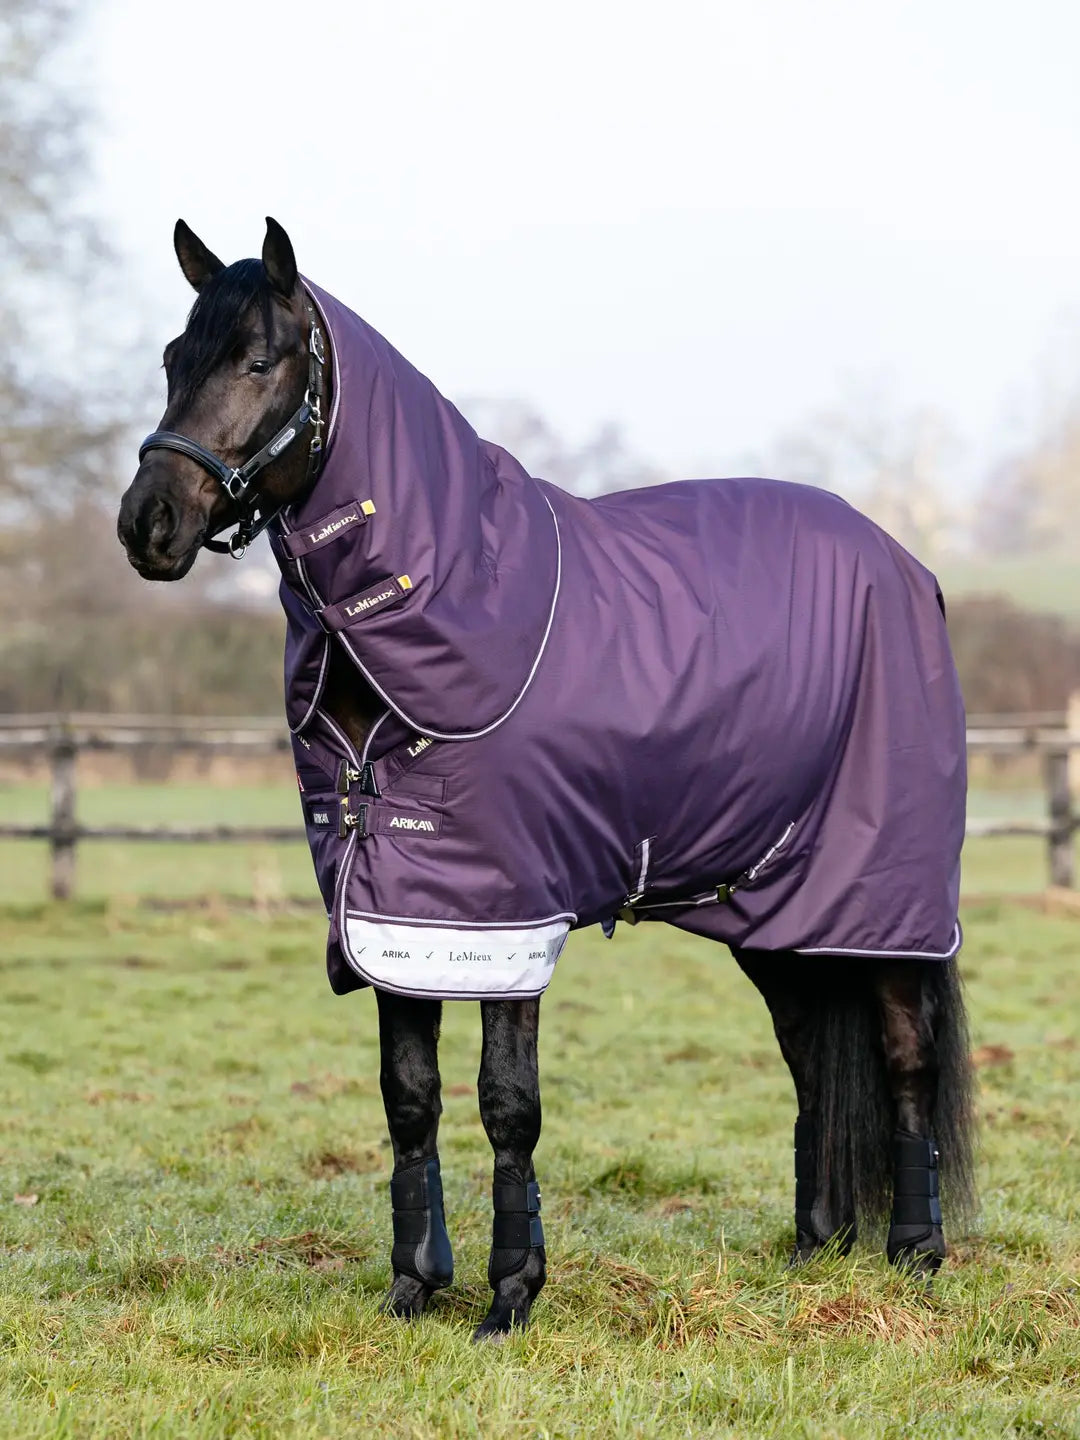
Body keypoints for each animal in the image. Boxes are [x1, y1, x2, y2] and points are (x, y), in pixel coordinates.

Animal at [117, 218, 974, 1340]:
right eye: (174, 360)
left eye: (260, 361)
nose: (147, 525)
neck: (453, 600)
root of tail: (910, 569)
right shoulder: (392, 906)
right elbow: (408, 1096)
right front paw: (413, 1287)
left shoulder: (506, 914)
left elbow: (506, 1103)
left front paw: (509, 1295)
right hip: (782, 911)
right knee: (808, 1056)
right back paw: (814, 1246)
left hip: (887, 902)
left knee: (906, 1052)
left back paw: (917, 1253)